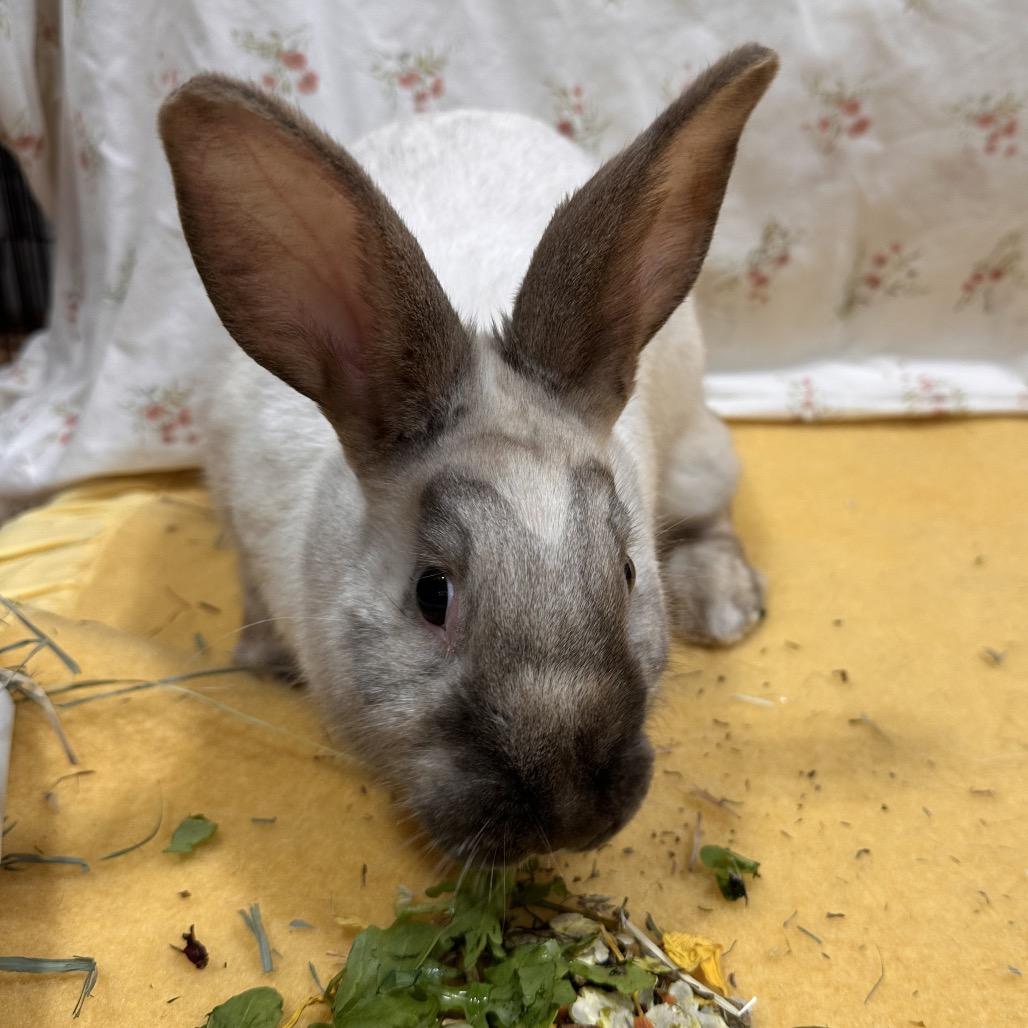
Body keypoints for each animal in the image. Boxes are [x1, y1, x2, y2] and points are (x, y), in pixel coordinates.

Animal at [158, 43, 777, 866]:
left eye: (627, 571)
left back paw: (723, 606)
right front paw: (263, 664)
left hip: (696, 454)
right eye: (432, 594)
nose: (570, 811)